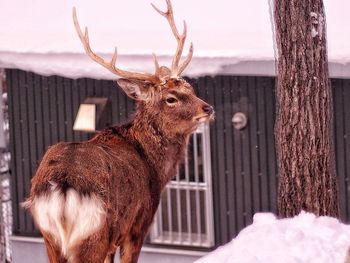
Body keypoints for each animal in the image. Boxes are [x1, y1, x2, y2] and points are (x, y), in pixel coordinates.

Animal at [22, 1, 213, 262]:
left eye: (190, 87)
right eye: (171, 98)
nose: (208, 108)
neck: (154, 166)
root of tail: (62, 188)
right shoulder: (138, 224)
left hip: (51, 240)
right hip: (95, 236)